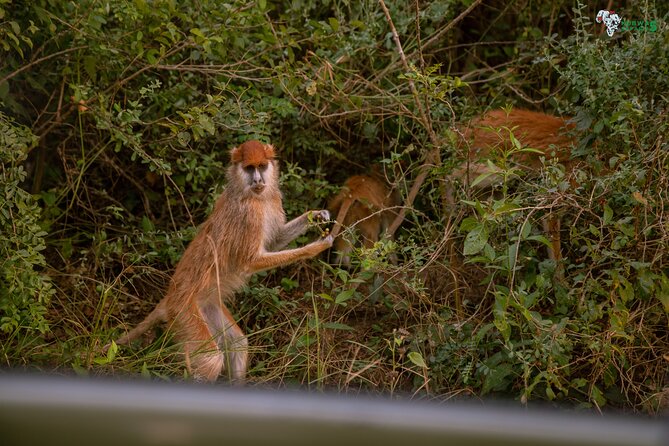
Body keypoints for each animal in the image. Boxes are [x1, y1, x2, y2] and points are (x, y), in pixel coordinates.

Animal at [113, 140, 336, 384]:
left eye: (261, 166)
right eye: (249, 168)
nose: (258, 181)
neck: (251, 194)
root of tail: (170, 297)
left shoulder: (272, 200)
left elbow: (274, 241)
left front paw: (315, 216)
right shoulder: (250, 215)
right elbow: (250, 261)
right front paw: (314, 247)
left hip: (206, 305)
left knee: (237, 343)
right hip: (184, 312)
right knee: (210, 360)